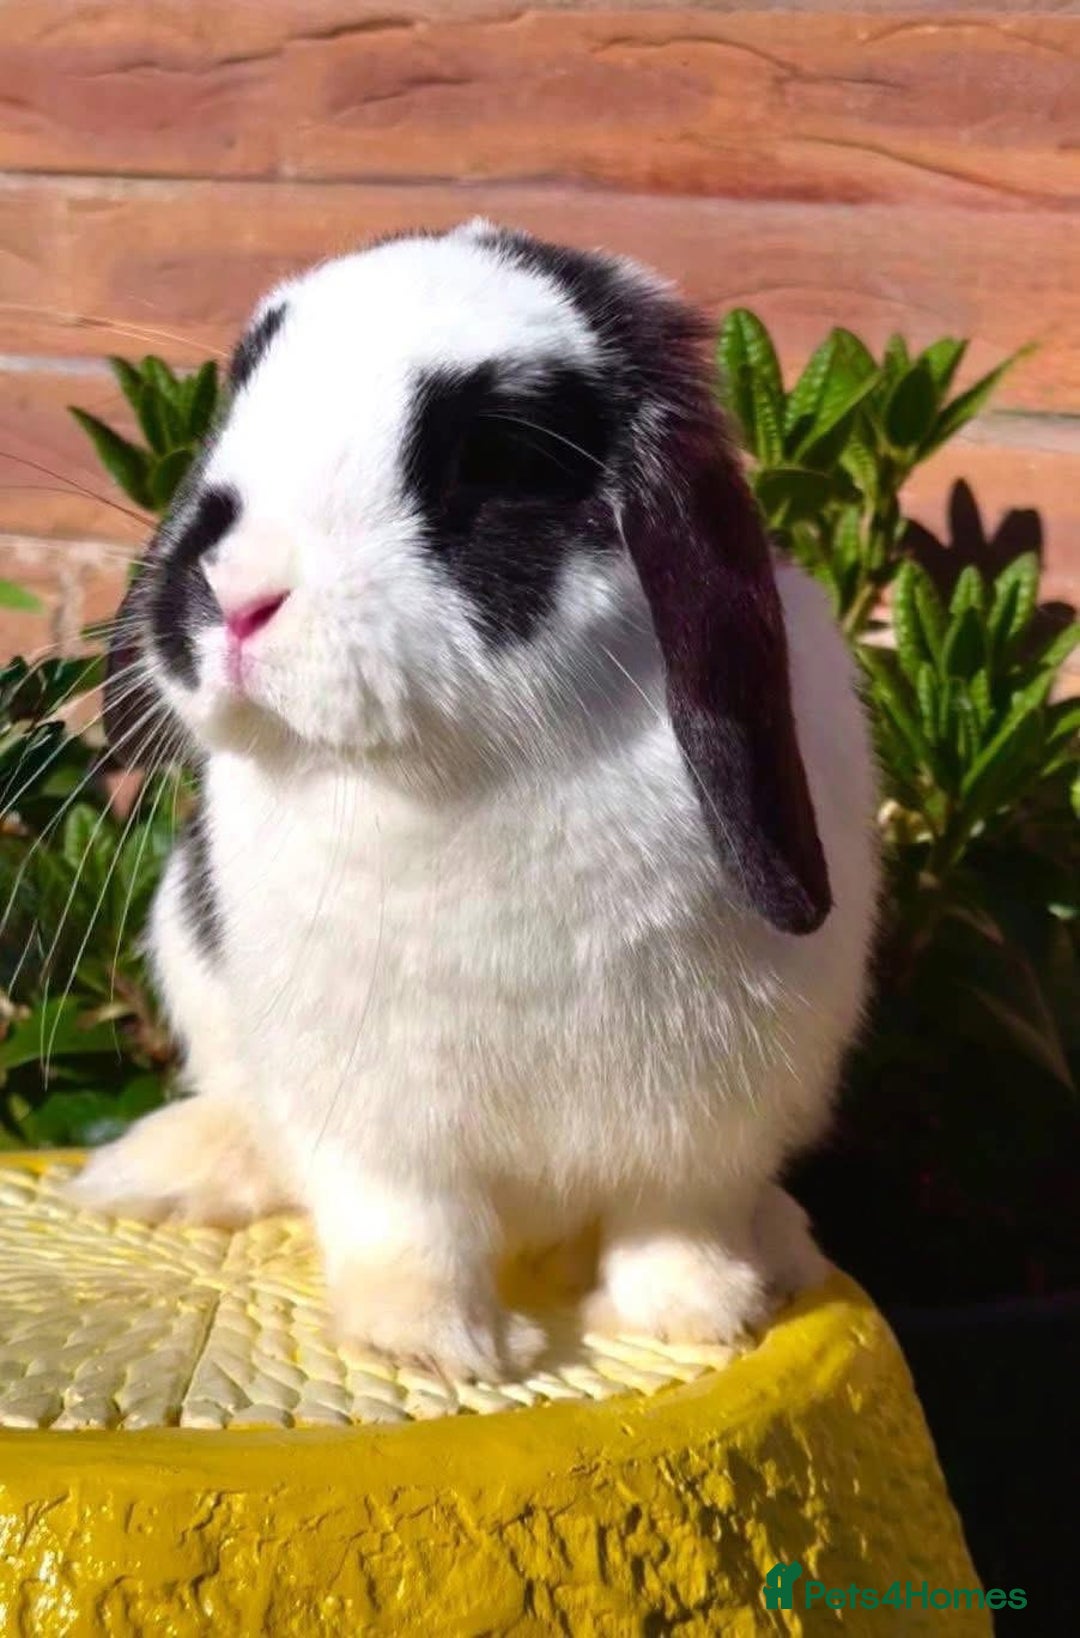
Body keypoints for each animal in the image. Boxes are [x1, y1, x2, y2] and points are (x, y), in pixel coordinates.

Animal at [69, 221, 879, 1380]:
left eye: (493, 460)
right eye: (242, 398)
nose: (236, 594)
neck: (461, 761)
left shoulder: (704, 1118)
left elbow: (677, 1216)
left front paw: (693, 1316)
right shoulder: (379, 1122)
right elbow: (412, 1222)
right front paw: (437, 1345)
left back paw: (777, 1252)